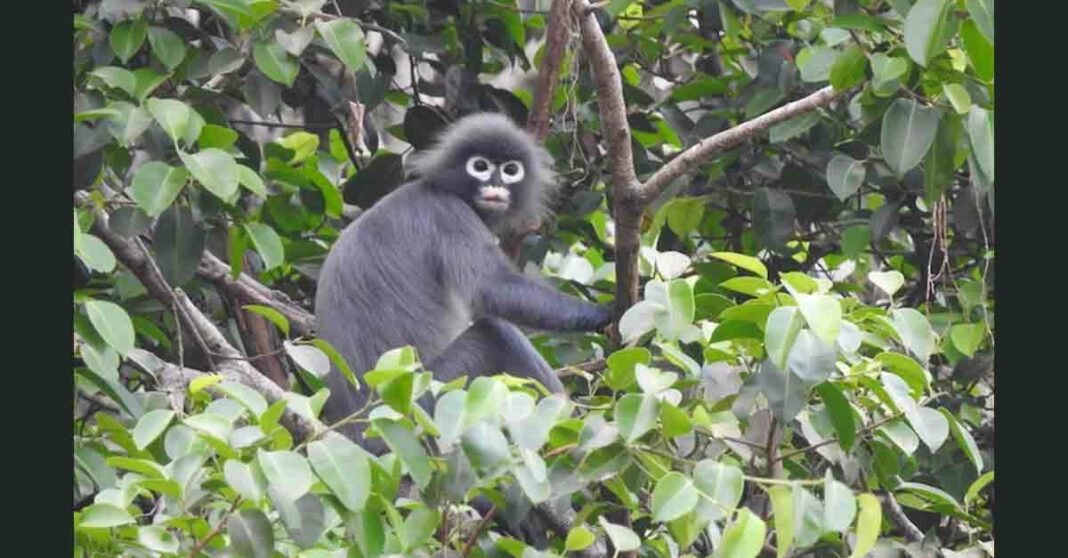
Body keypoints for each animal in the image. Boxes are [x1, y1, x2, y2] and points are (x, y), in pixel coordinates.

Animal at [311, 111, 615, 446]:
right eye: (480, 166)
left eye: (510, 170)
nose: (495, 184)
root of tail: (360, 432)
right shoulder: (449, 213)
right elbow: (494, 289)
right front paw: (611, 311)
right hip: (428, 404)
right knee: (498, 333)